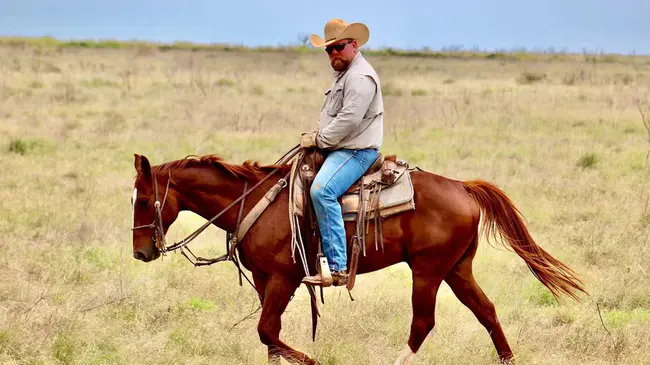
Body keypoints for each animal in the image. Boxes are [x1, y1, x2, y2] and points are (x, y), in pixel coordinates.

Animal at [129, 151, 584, 362]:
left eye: (146, 199)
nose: (140, 252)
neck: (254, 200)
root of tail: (464, 187)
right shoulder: (263, 280)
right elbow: (270, 339)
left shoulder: (283, 279)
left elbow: (267, 331)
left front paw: (312, 360)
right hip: (457, 268)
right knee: (486, 311)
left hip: (428, 270)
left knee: (423, 322)